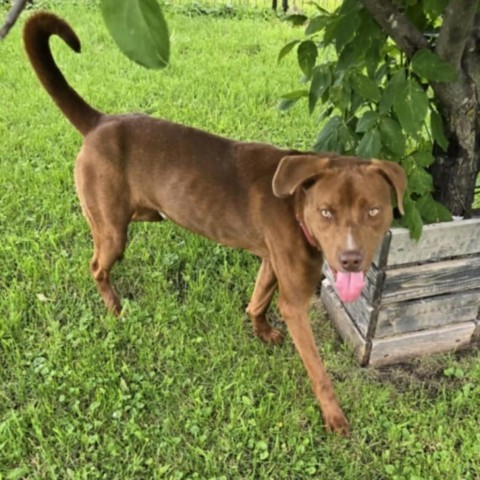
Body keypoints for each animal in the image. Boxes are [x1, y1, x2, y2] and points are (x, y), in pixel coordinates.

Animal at [22, 14, 404, 436]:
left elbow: (258, 299)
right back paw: (115, 307)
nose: (352, 259)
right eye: (326, 212)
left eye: (374, 211)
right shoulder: (295, 301)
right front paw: (334, 415)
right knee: (96, 266)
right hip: (112, 230)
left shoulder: (271, 261)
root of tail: (99, 122)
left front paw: (262, 330)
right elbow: (318, 369)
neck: (295, 202)